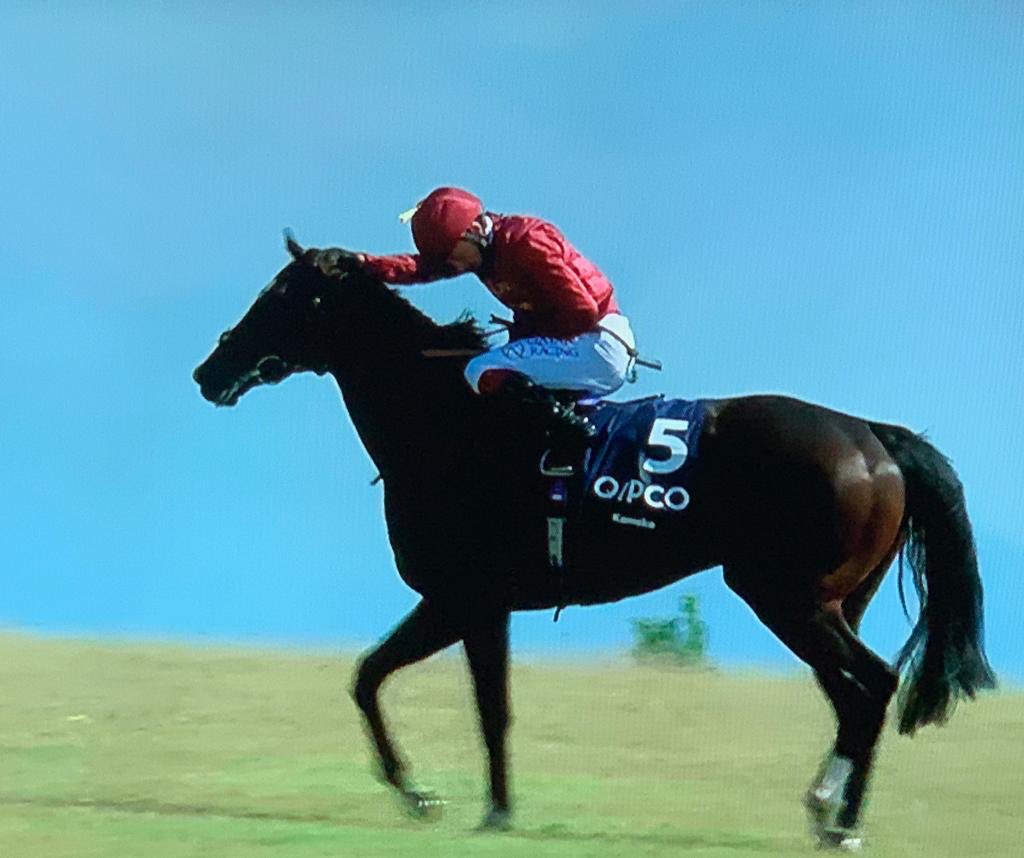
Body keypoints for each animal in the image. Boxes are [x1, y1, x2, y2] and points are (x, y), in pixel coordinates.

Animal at [192, 239, 996, 850]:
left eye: (284, 297)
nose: (209, 371)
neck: (450, 423)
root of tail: (873, 435)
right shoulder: (478, 606)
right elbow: (438, 694)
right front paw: (475, 805)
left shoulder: (462, 598)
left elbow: (413, 689)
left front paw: (430, 797)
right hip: (829, 601)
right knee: (852, 697)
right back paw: (827, 810)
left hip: (787, 597)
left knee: (874, 687)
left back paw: (844, 821)